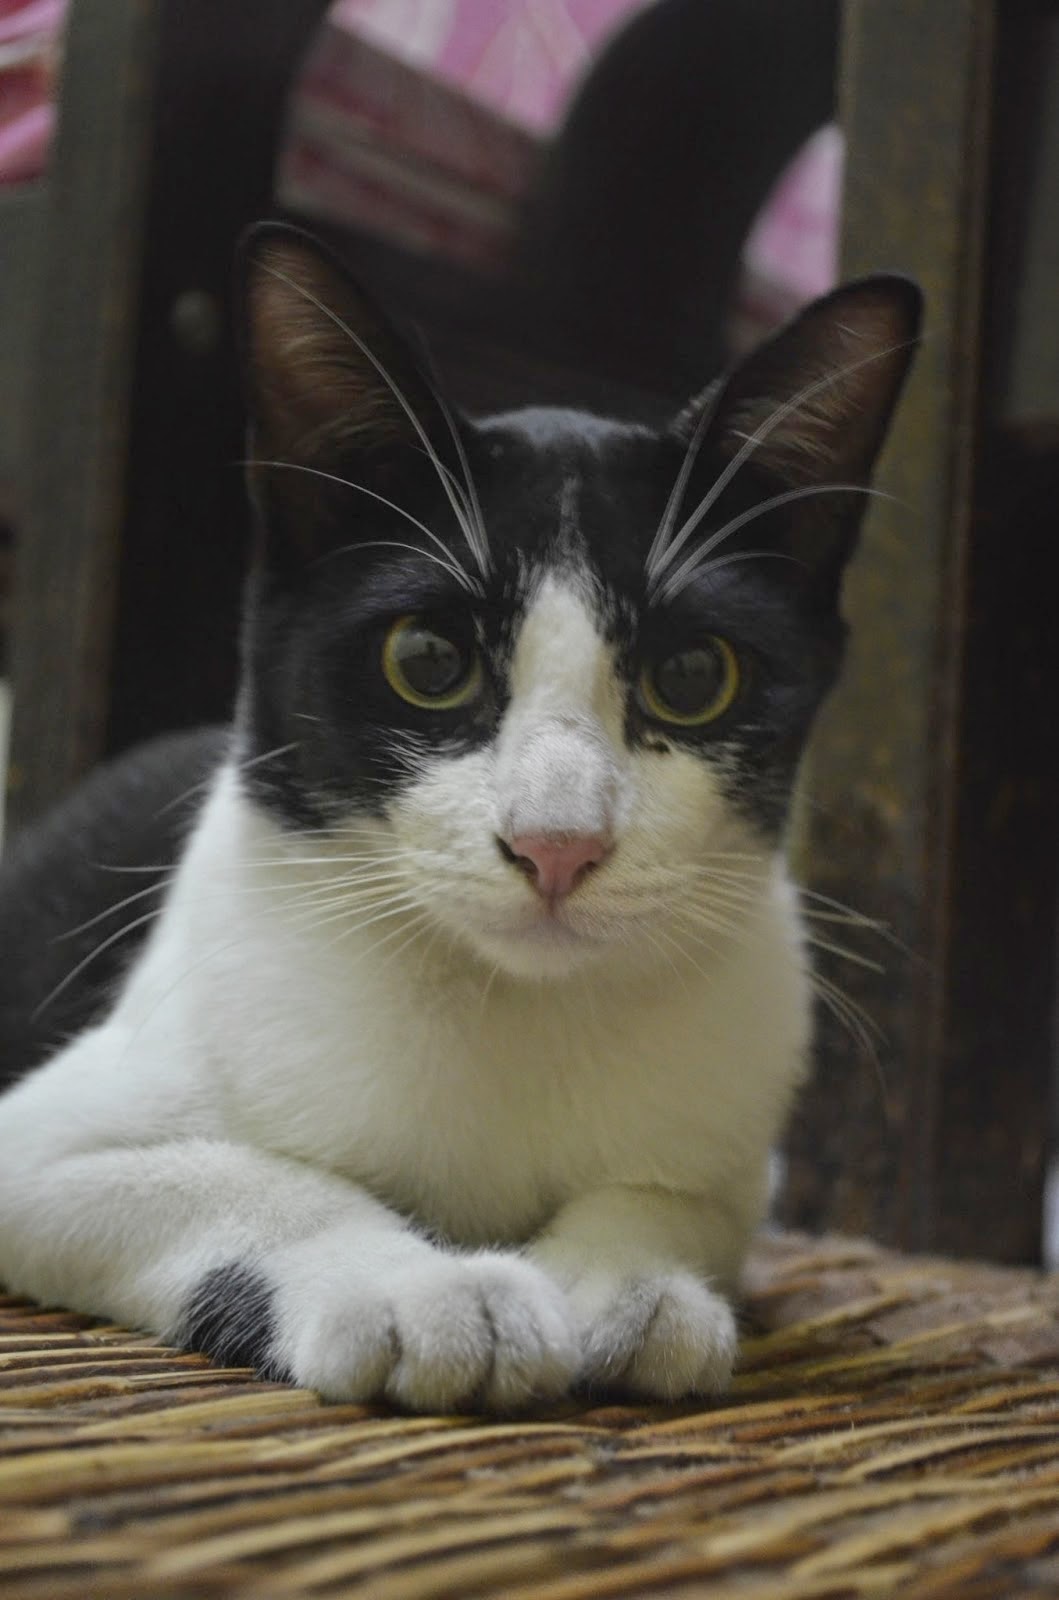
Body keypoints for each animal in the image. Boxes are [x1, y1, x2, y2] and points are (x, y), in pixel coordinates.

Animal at [0, 228, 921, 1414]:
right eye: (428, 659)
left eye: (692, 675)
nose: (558, 843)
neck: (513, 1006)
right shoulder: (37, 1139)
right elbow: (253, 1177)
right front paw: (429, 1293)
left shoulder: (737, 1150)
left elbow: (677, 1196)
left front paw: (628, 1284)